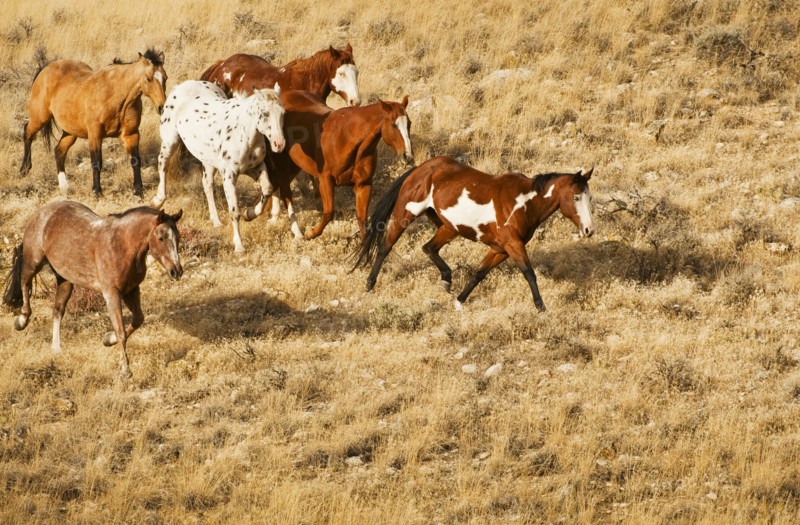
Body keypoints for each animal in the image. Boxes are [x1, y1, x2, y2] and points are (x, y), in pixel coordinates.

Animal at [2, 201, 183, 379]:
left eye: (178, 238)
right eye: (161, 238)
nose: (177, 271)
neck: (121, 246)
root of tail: (41, 212)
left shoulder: (132, 290)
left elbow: (138, 319)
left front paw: (108, 339)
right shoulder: (112, 294)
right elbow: (121, 330)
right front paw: (125, 370)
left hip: (65, 279)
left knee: (57, 310)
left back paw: (56, 348)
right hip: (34, 262)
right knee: (25, 283)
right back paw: (21, 321)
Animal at [21, 49, 168, 197]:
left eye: (165, 78)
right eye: (149, 78)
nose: (162, 107)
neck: (115, 97)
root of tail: (45, 68)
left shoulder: (131, 134)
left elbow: (135, 160)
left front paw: (138, 191)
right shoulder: (95, 134)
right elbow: (96, 162)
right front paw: (97, 191)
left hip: (70, 131)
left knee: (59, 151)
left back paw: (64, 187)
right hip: (40, 118)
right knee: (27, 133)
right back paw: (24, 169)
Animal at [153, 80, 285, 253]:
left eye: (283, 113)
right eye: (265, 113)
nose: (279, 144)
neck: (243, 132)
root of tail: (181, 86)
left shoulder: (255, 168)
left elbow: (268, 189)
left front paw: (249, 214)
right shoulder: (229, 175)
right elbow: (234, 211)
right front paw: (239, 246)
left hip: (208, 160)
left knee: (207, 185)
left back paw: (216, 221)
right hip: (170, 141)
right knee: (162, 164)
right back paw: (158, 200)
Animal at [265, 90, 413, 240]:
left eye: (409, 124)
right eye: (393, 124)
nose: (408, 156)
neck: (347, 138)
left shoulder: (363, 185)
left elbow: (362, 218)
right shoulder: (326, 181)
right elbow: (329, 212)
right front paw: (311, 232)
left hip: (296, 164)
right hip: (281, 163)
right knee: (285, 192)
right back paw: (294, 231)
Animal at [352, 156, 595, 311]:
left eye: (588, 197)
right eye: (575, 197)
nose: (589, 230)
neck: (523, 202)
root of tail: (420, 168)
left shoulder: (500, 249)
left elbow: (479, 273)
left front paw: (459, 301)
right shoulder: (513, 245)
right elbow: (529, 273)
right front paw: (541, 307)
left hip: (449, 227)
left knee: (429, 247)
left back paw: (446, 280)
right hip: (406, 214)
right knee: (385, 246)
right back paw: (369, 285)